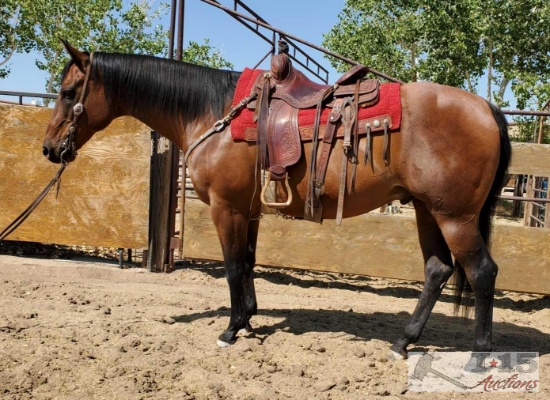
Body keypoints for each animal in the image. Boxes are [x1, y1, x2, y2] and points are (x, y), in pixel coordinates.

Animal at [43, 41, 512, 360]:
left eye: (68, 92)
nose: (49, 149)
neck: (212, 113)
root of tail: (487, 108)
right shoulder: (248, 211)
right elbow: (248, 263)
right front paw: (250, 317)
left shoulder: (226, 208)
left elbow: (233, 266)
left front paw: (231, 329)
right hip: (426, 210)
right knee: (437, 271)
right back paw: (403, 342)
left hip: (454, 216)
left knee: (482, 272)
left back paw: (478, 356)